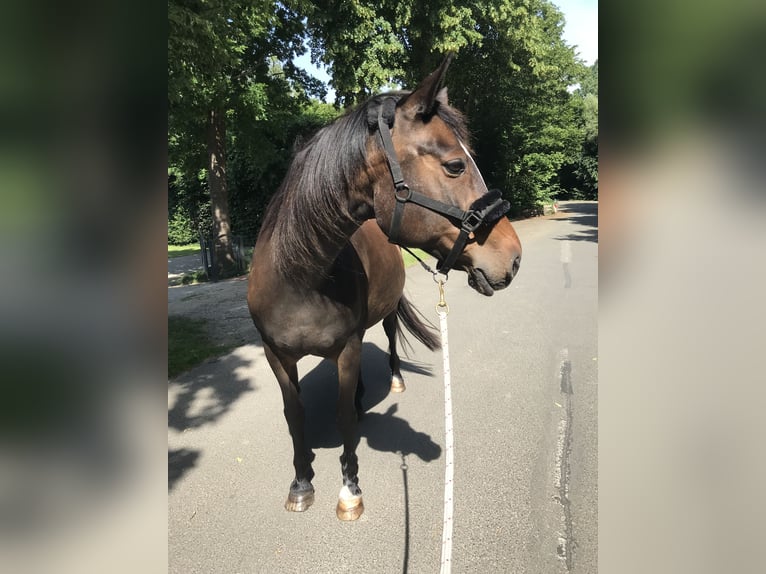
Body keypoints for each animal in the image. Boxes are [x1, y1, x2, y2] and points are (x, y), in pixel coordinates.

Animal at [247, 56, 522, 521]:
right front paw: (301, 484)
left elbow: (342, 418)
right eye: (455, 165)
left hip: (386, 314)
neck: (299, 280)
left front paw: (349, 490)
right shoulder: (276, 356)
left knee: (391, 340)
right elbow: (294, 416)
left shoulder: (346, 348)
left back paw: (391, 382)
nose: (514, 258)